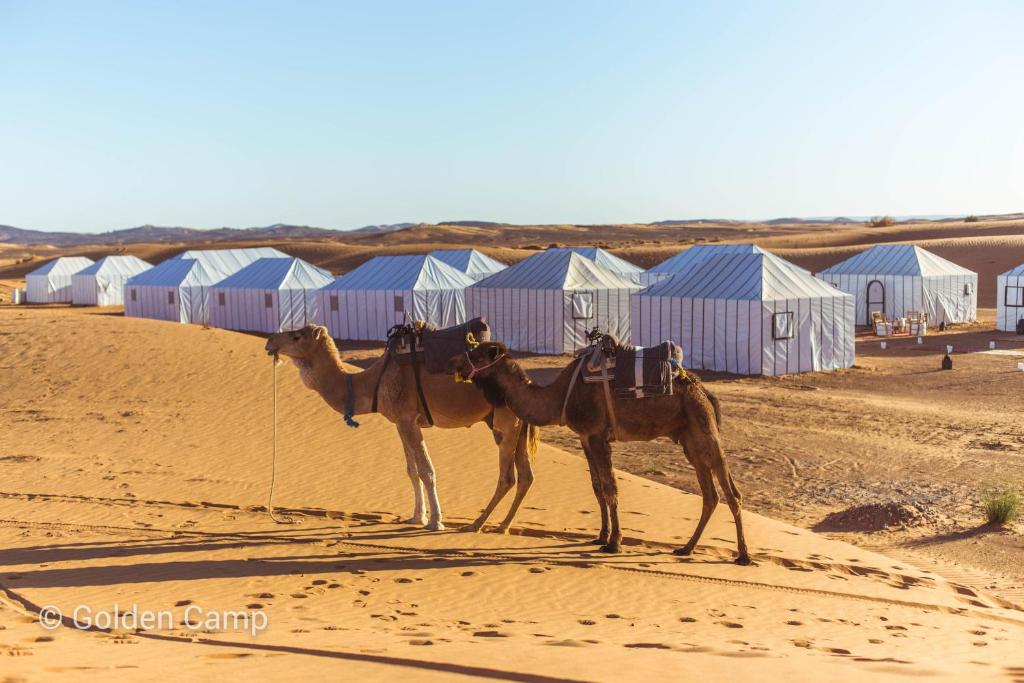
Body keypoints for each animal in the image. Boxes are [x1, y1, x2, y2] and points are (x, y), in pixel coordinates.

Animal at [264, 325, 536, 532]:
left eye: (297, 336)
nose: (269, 342)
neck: (372, 382)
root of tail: (527, 380)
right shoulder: (400, 422)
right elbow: (411, 471)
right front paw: (417, 517)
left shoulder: (406, 419)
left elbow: (426, 471)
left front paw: (436, 521)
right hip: (515, 425)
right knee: (526, 476)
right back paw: (503, 525)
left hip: (505, 422)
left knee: (507, 477)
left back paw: (477, 524)